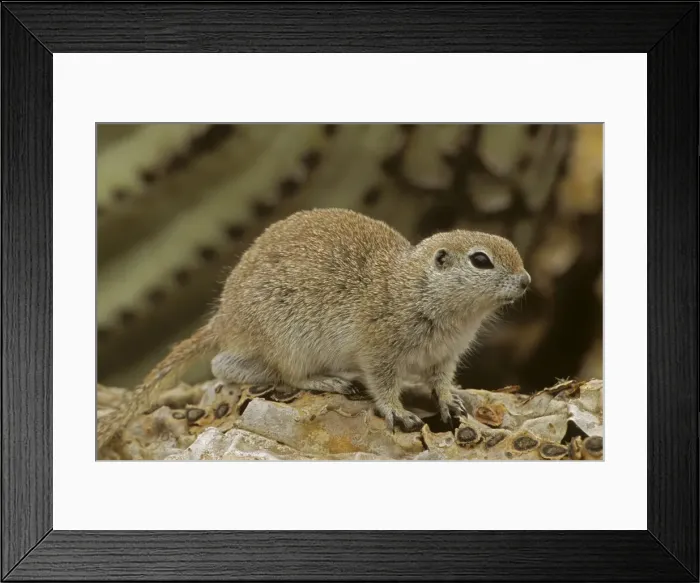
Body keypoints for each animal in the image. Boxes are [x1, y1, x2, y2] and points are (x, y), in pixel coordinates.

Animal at [97, 208, 530, 452]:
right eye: (481, 260)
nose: (527, 281)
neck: (414, 289)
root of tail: (225, 317)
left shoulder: (445, 356)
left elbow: (440, 382)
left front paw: (451, 400)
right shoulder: (379, 351)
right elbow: (383, 384)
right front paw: (398, 412)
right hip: (291, 343)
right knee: (257, 371)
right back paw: (329, 380)